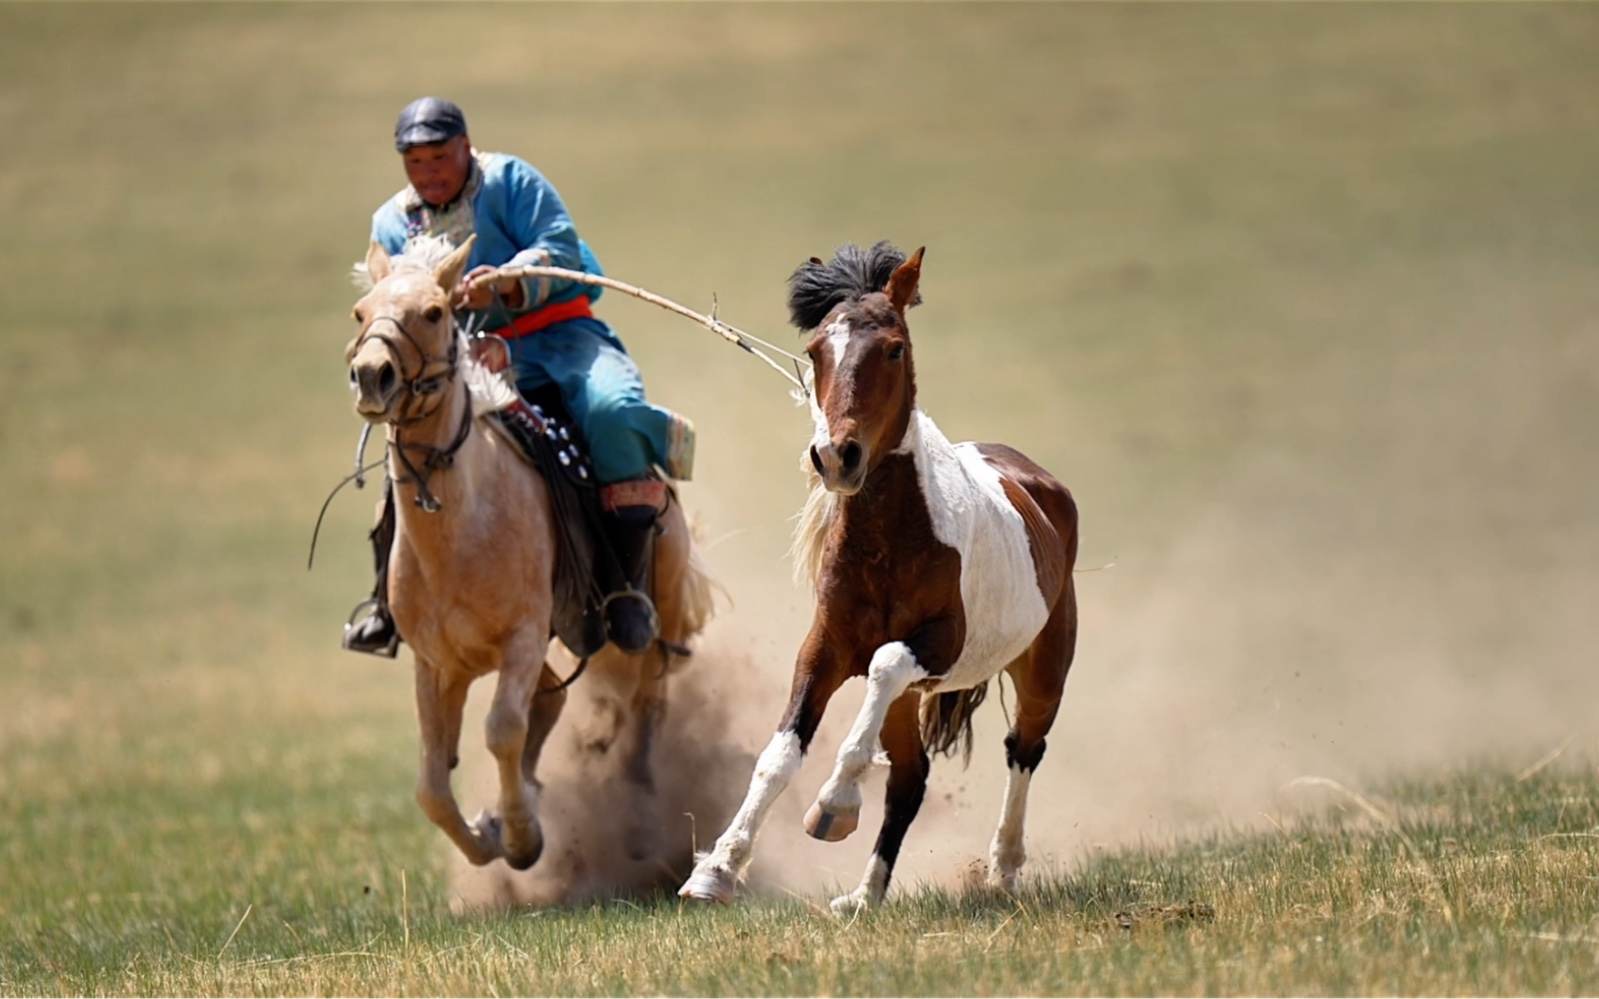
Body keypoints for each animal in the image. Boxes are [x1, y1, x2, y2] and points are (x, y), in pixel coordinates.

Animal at [348, 238, 713, 869]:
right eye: (360, 312)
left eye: (435, 311)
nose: (372, 375)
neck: (458, 531)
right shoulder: (436, 662)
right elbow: (432, 784)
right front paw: (489, 832)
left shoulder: (520, 635)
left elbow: (502, 730)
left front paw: (520, 837)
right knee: (554, 699)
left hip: (654, 612)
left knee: (649, 697)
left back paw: (639, 795)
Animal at [681, 241, 1080, 914]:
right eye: (816, 350)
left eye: (893, 348)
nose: (835, 457)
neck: (891, 542)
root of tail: (1040, 484)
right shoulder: (825, 646)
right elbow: (780, 754)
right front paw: (716, 869)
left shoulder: (939, 644)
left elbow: (886, 663)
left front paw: (834, 803)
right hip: (914, 701)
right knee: (911, 781)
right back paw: (864, 896)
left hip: (1043, 669)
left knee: (1023, 749)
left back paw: (1001, 871)